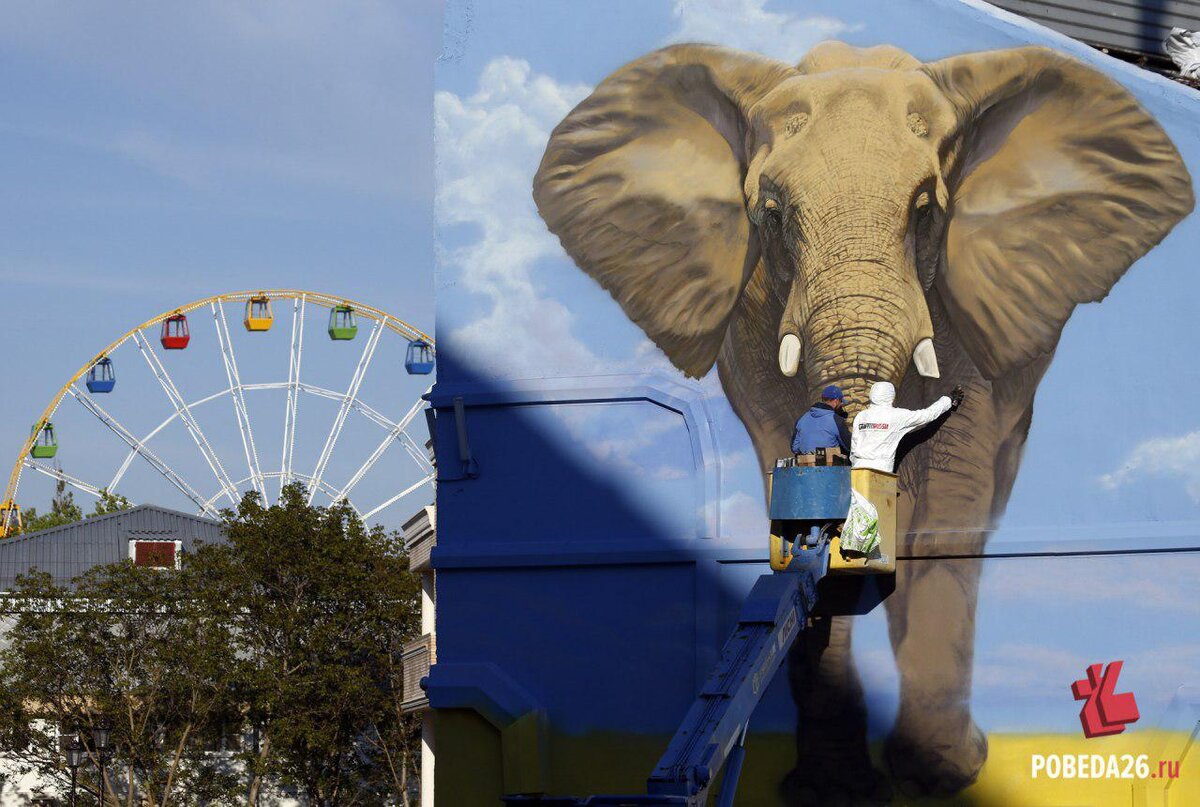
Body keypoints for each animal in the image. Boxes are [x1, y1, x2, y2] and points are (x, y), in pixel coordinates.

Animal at [532, 42, 1190, 802]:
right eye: (772, 212)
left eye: (926, 207)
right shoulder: (755, 323)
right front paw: (836, 787)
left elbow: (949, 505)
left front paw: (940, 774)